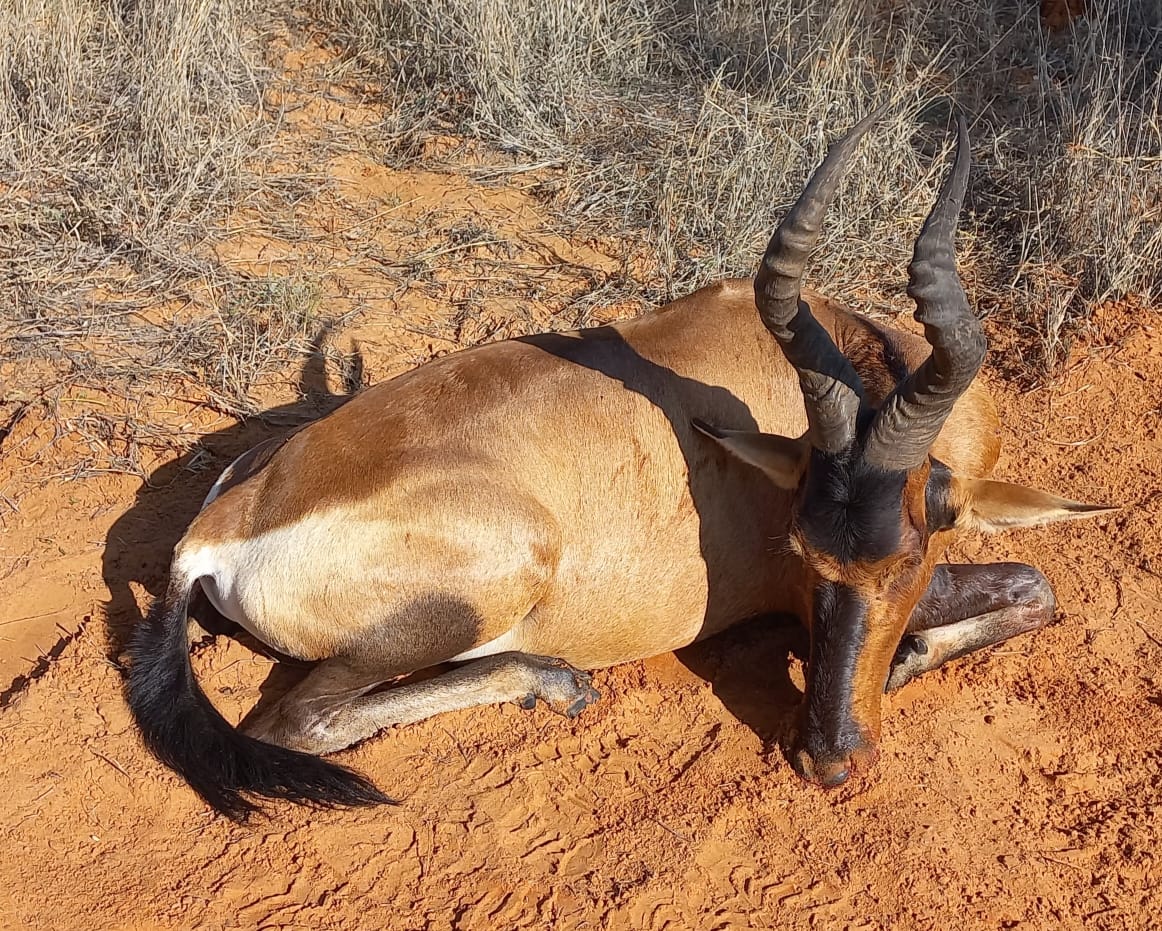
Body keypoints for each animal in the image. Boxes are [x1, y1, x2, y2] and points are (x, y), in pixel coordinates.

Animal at [124, 112, 1106, 818]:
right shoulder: (798, 594)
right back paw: (557, 681)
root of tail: (216, 531)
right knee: (301, 717)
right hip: (500, 571)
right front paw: (909, 658)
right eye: (804, 554)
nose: (829, 762)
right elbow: (1037, 582)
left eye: (907, 556)